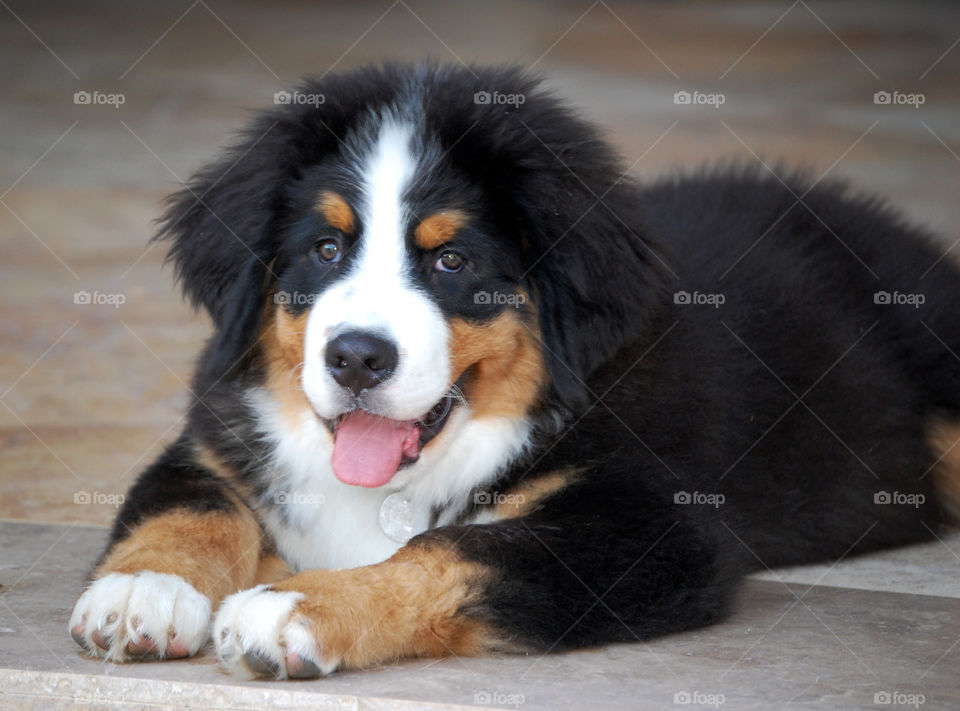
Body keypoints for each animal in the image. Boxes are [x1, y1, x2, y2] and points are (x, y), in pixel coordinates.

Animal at [69, 64, 960, 680]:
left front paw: (299, 605)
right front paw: (143, 589)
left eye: (453, 261)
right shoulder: (216, 434)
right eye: (325, 248)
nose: (355, 356)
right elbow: (188, 502)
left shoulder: (659, 530)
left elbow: (457, 547)